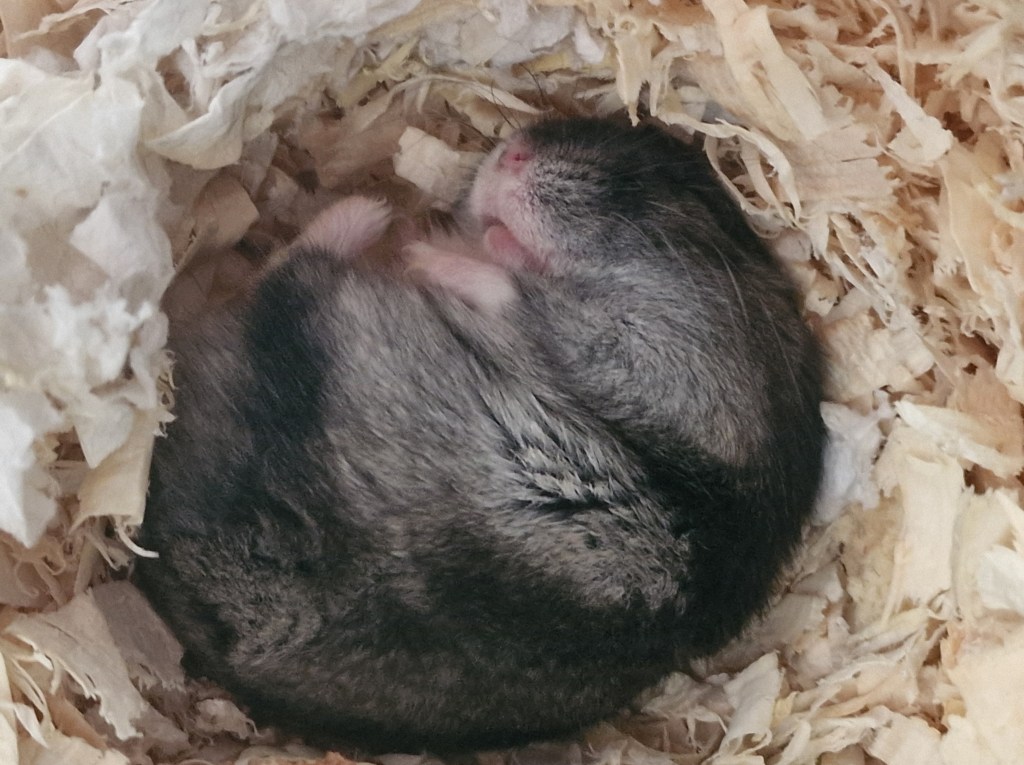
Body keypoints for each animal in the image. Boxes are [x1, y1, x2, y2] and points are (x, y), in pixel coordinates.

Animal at [134, 117, 825, 753]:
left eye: (664, 183)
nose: (511, 153)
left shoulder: (654, 360)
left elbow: (522, 299)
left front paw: (420, 251)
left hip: (326, 320)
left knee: (287, 273)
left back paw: (368, 215)